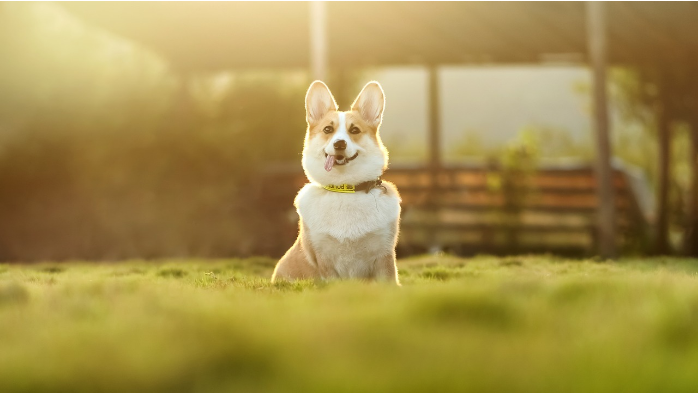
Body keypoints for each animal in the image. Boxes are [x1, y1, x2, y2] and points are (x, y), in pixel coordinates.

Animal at [272, 81, 402, 284]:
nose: (339, 144)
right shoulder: (325, 260)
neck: (345, 189)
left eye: (354, 130)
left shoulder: (383, 256)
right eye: (328, 129)